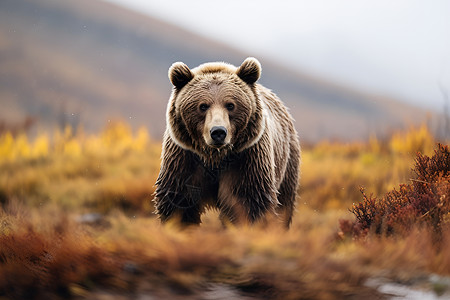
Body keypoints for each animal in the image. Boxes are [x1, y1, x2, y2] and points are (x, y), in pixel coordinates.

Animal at [153, 57, 300, 229]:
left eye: (230, 105)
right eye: (203, 106)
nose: (218, 132)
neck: (215, 157)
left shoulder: (246, 158)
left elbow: (247, 201)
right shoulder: (184, 157)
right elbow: (178, 202)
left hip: (287, 162)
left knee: (284, 204)